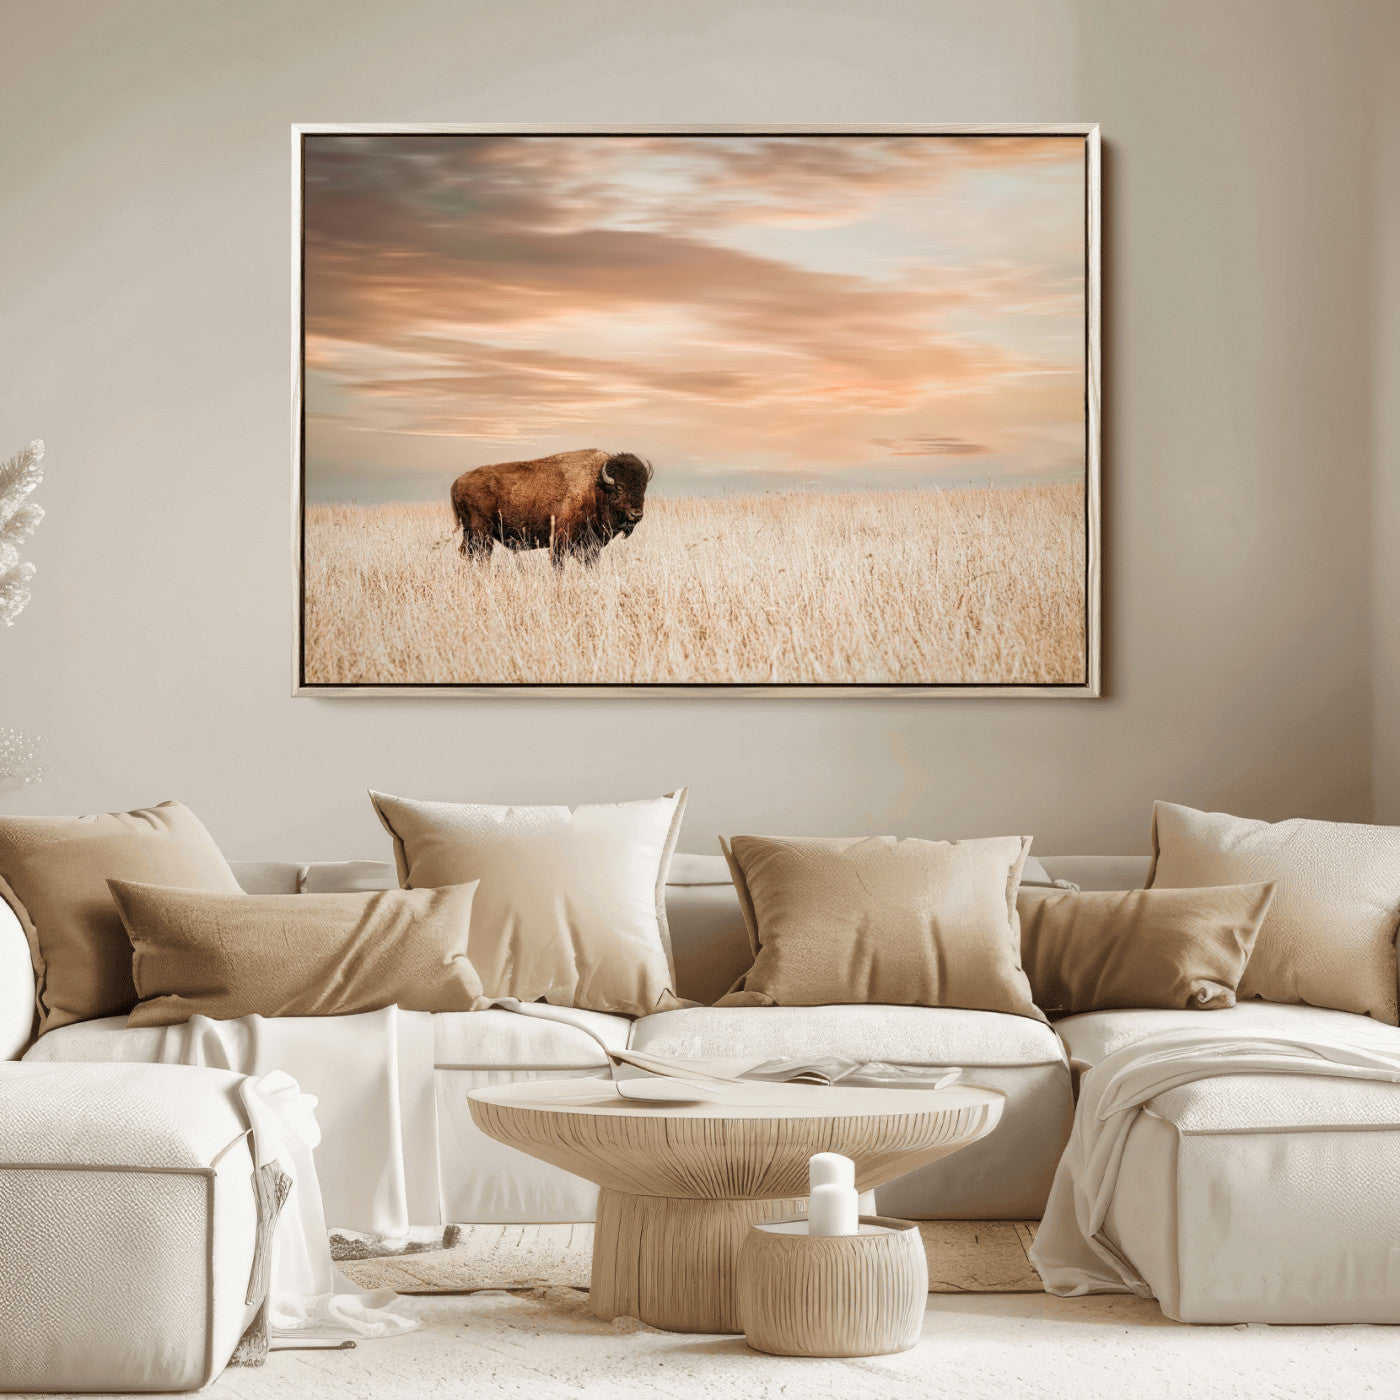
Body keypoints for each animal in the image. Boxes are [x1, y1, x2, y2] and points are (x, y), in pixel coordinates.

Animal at [451, 448, 653, 568]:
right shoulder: (562, 539)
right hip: (480, 532)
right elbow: (558, 563)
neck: (597, 486)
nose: (636, 514)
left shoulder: (589, 544)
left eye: (643, 487)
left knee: (467, 553)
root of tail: (458, 482)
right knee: (481, 554)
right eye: (619, 488)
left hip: (471, 533)